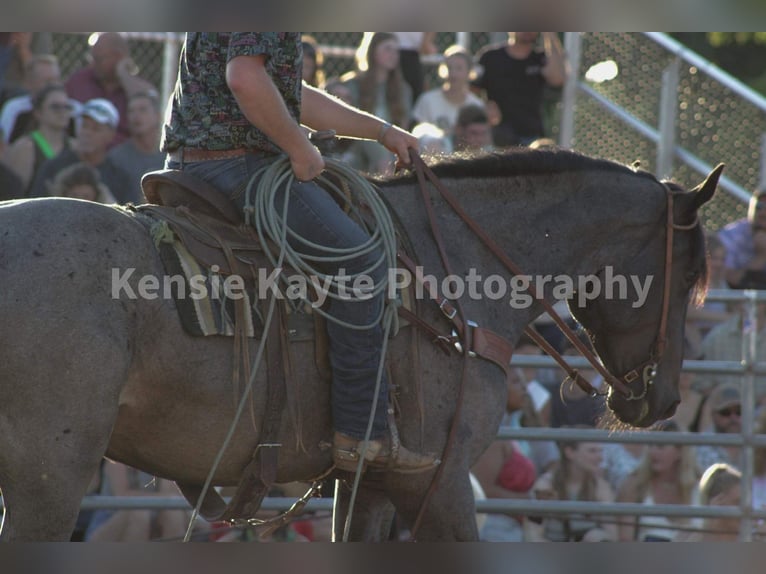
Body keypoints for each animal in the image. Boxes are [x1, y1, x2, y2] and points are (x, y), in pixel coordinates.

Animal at [0, 147, 724, 540]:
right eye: (690, 272)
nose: (664, 399)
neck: (450, 269)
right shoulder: (439, 480)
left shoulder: (366, 484)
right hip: (50, 475)